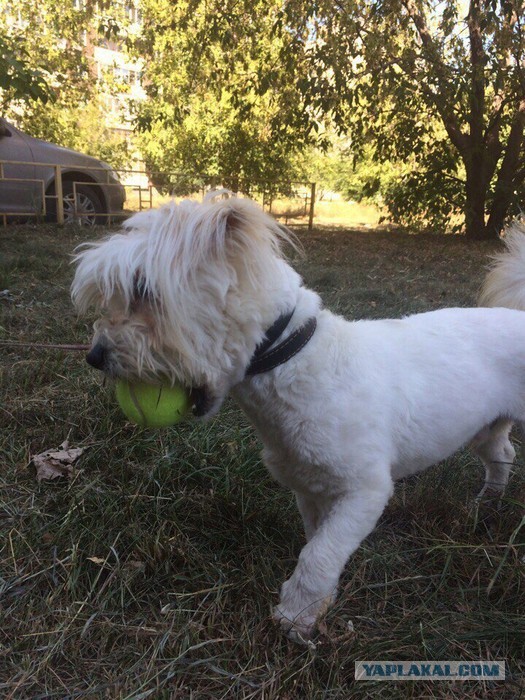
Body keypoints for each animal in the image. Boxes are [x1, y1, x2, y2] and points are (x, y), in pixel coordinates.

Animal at [72, 194, 524, 644]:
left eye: (143, 291)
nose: (94, 355)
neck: (299, 362)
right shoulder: (310, 487)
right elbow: (317, 542)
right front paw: (318, 600)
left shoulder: (365, 490)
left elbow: (320, 553)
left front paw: (296, 616)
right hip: (484, 427)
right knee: (502, 453)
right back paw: (486, 504)